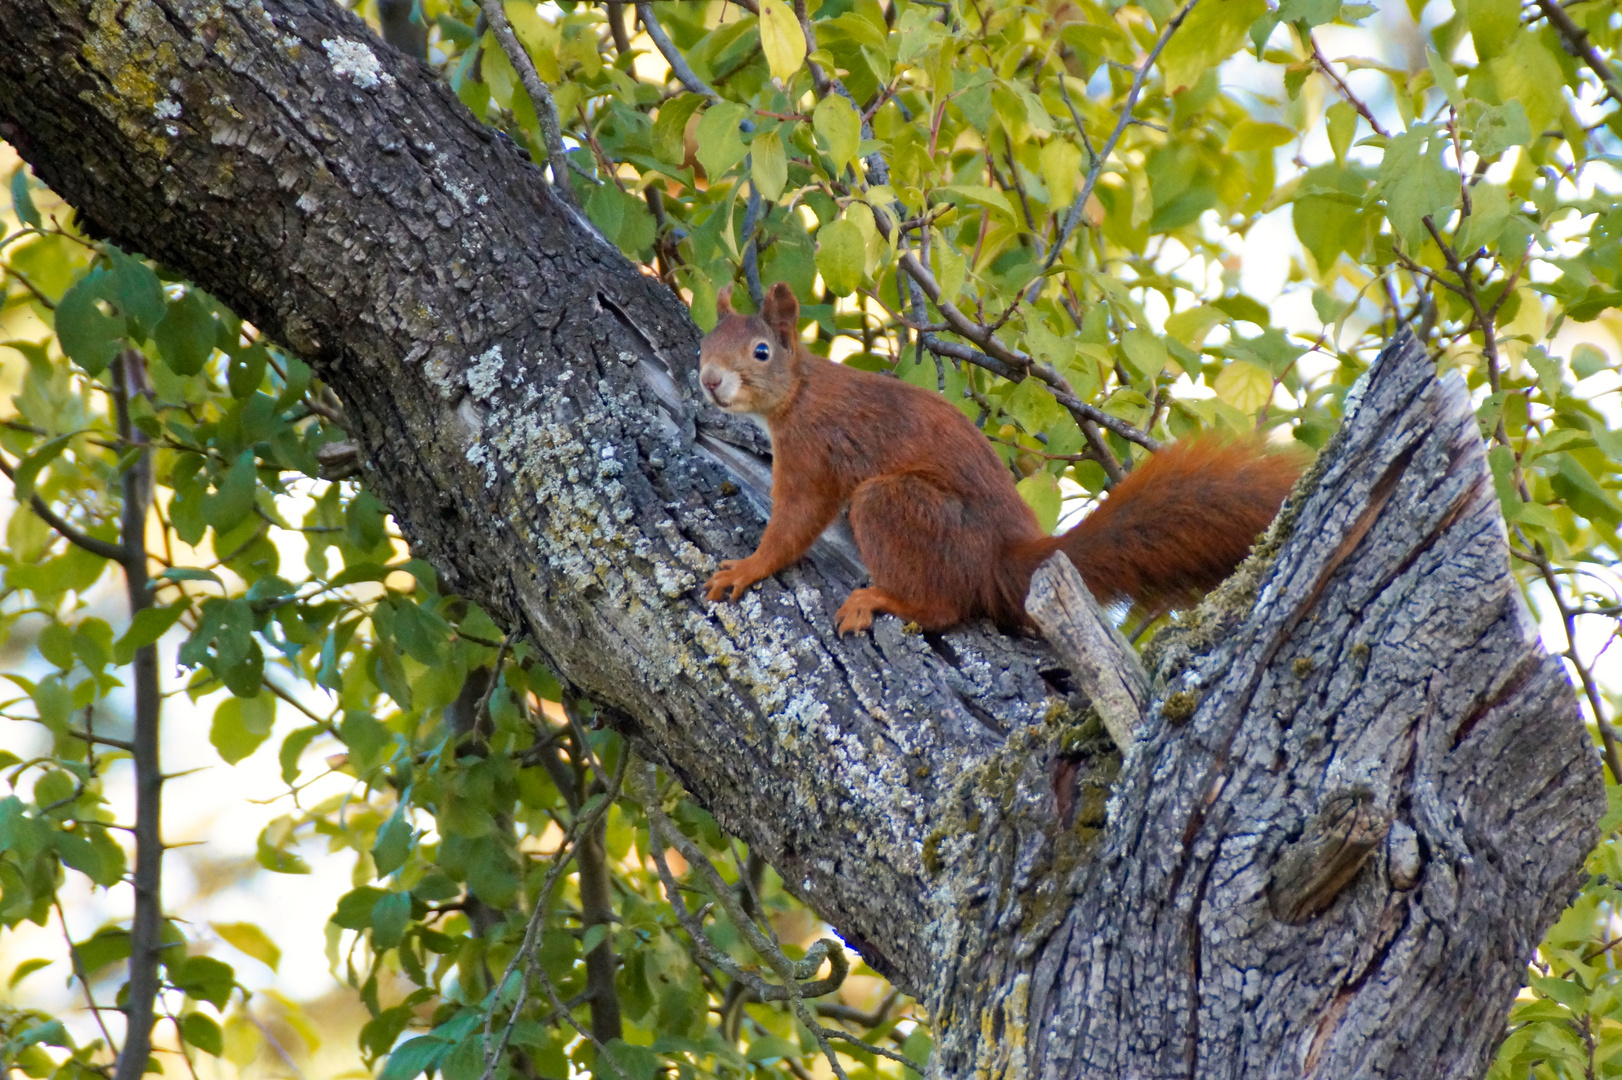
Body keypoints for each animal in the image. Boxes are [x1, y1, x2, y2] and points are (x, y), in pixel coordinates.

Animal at [700, 282, 1304, 635]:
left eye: (761, 352)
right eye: (704, 344)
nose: (708, 380)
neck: (800, 392)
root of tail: (1005, 561)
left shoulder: (815, 450)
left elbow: (795, 522)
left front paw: (749, 567)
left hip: (897, 506)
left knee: (945, 607)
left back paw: (884, 600)